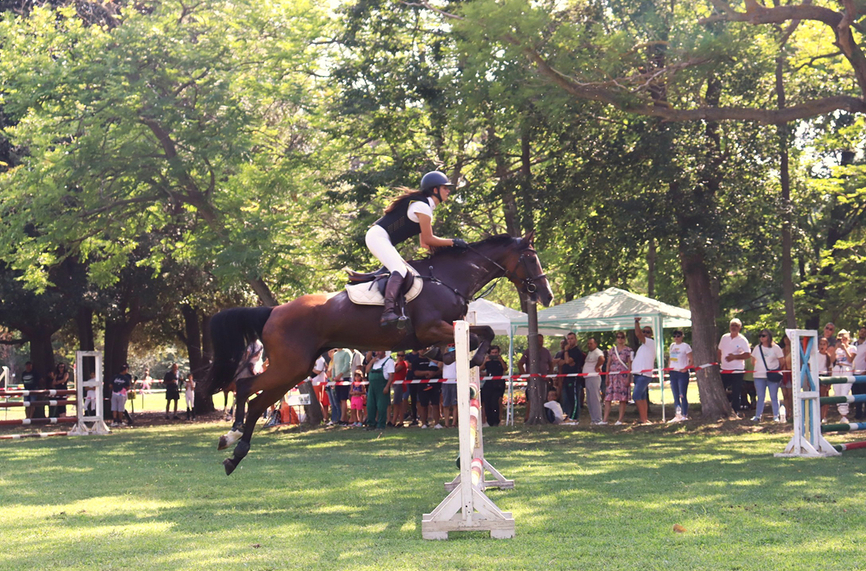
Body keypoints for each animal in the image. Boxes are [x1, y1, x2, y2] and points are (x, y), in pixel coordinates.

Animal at [205, 230, 552, 476]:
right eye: (530, 257)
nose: (546, 295)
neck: (448, 278)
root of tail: (273, 311)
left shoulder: (446, 328)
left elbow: (472, 339)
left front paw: (452, 358)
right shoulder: (432, 327)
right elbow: (485, 333)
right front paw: (476, 359)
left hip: (297, 370)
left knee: (257, 401)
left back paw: (235, 453)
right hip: (291, 366)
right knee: (246, 387)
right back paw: (231, 435)